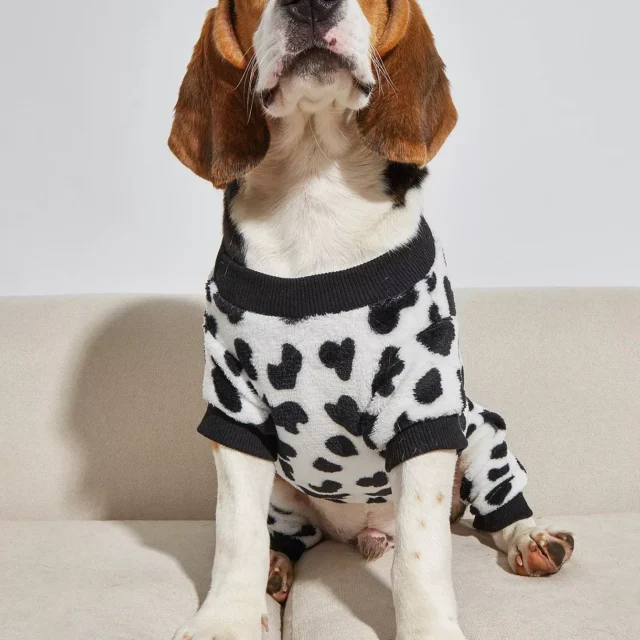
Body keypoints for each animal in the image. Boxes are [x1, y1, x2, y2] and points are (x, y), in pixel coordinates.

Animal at [168, 1, 575, 638]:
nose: (311, 5)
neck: (314, 183)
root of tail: (359, 534)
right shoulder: (236, 413)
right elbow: (236, 536)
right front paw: (224, 620)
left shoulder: (423, 412)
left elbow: (421, 554)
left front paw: (429, 629)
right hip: (285, 487)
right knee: (286, 536)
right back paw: (278, 569)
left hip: (480, 430)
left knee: (496, 505)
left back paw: (532, 537)